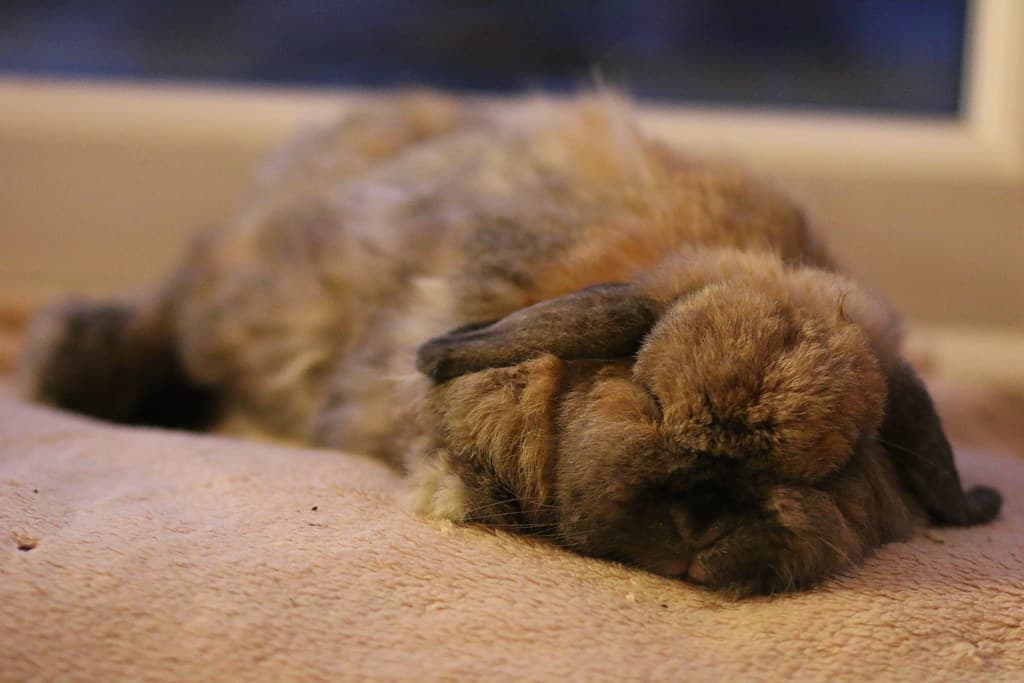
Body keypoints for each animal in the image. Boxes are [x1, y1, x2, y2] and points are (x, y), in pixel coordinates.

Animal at [16, 91, 1001, 595]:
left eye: (832, 467)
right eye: (647, 392)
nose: (704, 510)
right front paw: (460, 492)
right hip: (225, 298)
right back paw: (65, 369)